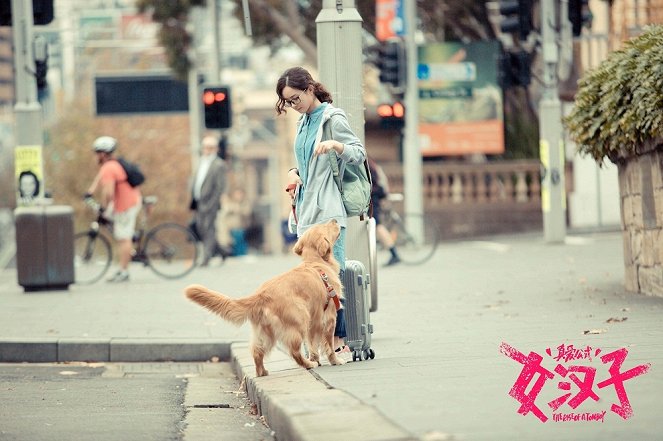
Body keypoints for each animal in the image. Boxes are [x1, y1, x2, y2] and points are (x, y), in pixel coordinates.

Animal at [184, 220, 344, 374]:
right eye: (325, 225)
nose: (335, 220)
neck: (315, 262)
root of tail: (261, 295)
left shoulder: (314, 322)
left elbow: (312, 345)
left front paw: (316, 358)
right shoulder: (329, 318)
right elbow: (329, 345)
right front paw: (335, 360)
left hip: (266, 332)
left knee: (257, 352)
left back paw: (263, 372)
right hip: (299, 322)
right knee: (294, 352)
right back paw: (308, 364)